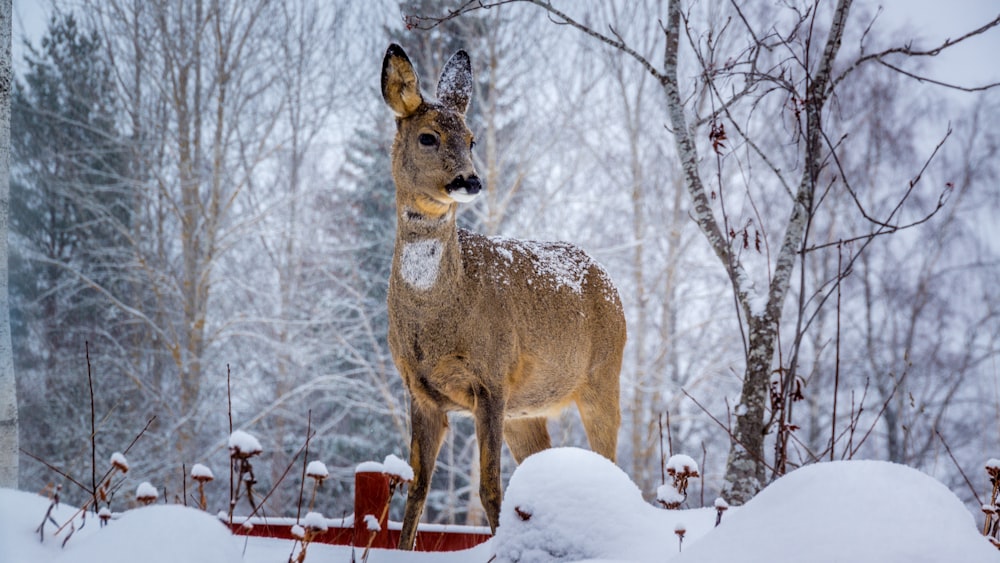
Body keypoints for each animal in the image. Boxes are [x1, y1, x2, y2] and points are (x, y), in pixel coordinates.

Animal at [380, 45, 624, 552]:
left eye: (472, 139)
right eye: (428, 137)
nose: (470, 181)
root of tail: (606, 278)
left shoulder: (490, 377)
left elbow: (490, 485)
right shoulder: (420, 390)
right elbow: (417, 488)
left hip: (602, 375)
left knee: (610, 462)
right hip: (526, 409)